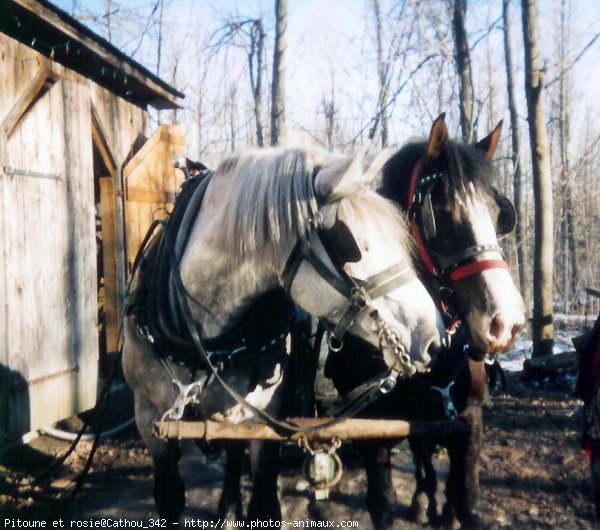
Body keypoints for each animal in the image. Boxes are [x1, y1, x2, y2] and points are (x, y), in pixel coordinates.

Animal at [122, 144, 448, 520]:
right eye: (355, 246)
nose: (434, 338)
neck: (203, 341)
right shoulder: (150, 420)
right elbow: (170, 496)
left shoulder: (263, 419)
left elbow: (264, 500)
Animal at [324, 114, 524, 524]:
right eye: (442, 213)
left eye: (499, 215)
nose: (505, 323)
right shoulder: (374, 431)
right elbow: (382, 501)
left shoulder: (468, 425)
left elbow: (466, 499)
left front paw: (449, 508)